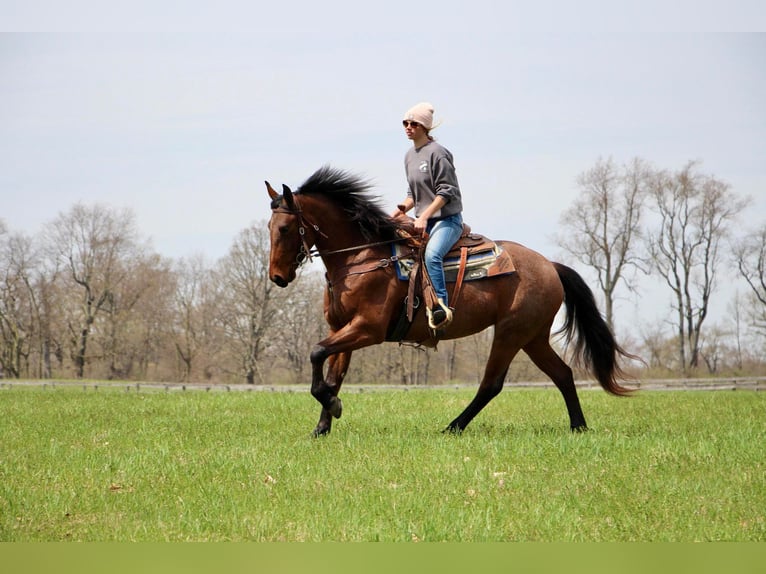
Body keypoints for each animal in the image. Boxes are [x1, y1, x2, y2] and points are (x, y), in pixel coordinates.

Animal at [268, 166, 640, 436]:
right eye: (270, 226)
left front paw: (333, 407)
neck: (362, 257)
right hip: (533, 337)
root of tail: (550, 266)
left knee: (492, 384)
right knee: (562, 373)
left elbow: (316, 353)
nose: (276, 276)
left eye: (285, 228)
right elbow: (332, 373)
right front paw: (322, 425)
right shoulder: (342, 329)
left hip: (511, 333)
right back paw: (578, 426)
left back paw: (453, 427)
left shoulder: (367, 329)